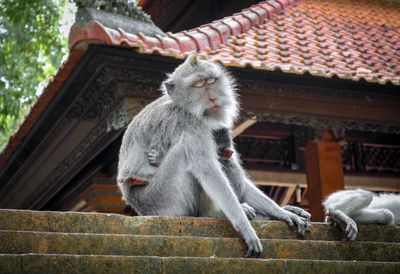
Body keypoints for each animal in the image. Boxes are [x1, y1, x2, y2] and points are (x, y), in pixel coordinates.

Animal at [117, 55, 310, 256]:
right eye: (197, 85)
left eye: (210, 81)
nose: (211, 97)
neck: (184, 106)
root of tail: (140, 209)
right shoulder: (191, 124)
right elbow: (208, 171)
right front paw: (246, 227)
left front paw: (282, 212)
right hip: (162, 200)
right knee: (186, 155)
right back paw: (215, 214)